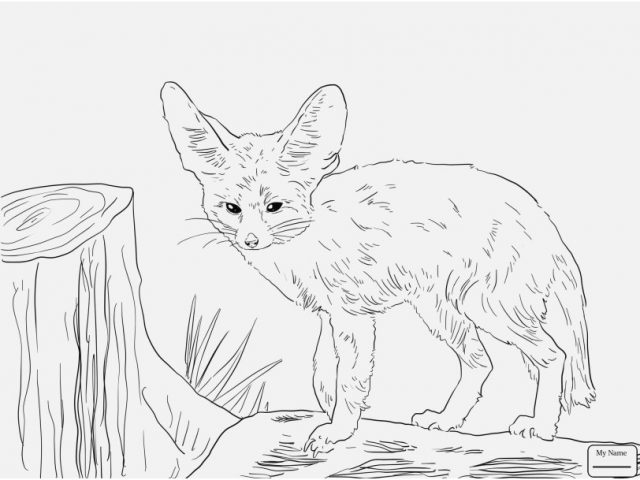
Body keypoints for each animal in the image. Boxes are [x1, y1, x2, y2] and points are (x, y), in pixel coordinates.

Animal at [160, 82, 595, 454]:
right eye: (231, 208)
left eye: (274, 207)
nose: (249, 240)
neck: (309, 234)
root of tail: (541, 218)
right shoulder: (330, 315)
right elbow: (323, 373)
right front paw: (336, 418)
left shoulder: (352, 316)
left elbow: (349, 378)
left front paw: (338, 430)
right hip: (441, 312)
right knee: (480, 361)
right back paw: (448, 419)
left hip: (490, 310)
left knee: (553, 356)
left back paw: (541, 427)